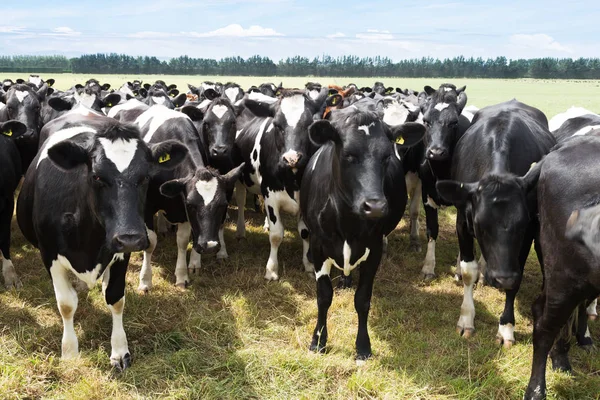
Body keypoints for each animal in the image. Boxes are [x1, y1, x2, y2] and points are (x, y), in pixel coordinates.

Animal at [16, 112, 186, 368]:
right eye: (96, 176)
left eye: (146, 176)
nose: (130, 237)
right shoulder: (49, 255)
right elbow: (66, 304)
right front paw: (69, 351)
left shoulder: (121, 253)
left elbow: (115, 298)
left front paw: (120, 351)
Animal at [232, 89, 326, 280]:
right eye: (277, 125)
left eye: (309, 124)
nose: (292, 158)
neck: (293, 179)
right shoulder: (270, 195)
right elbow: (276, 235)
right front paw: (271, 270)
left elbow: (305, 232)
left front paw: (308, 265)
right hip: (240, 179)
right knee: (241, 200)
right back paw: (241, 231)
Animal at [304, 101, 426, 362]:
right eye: (348, 155)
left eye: (386, 156)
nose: (376, 206)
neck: (348, 224)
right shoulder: (318, 247)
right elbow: (323, 296)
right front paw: (318, 341)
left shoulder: (374, 248)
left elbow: (363, 300)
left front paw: (362, 346)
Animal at [434, 99, 556, 344]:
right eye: (479, 224)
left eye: (521, 224)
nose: (502, 278)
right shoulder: (462, 222)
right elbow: (468, 271)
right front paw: (466, 319)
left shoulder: (528, 233)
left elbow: (516, 279)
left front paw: (507, 327)